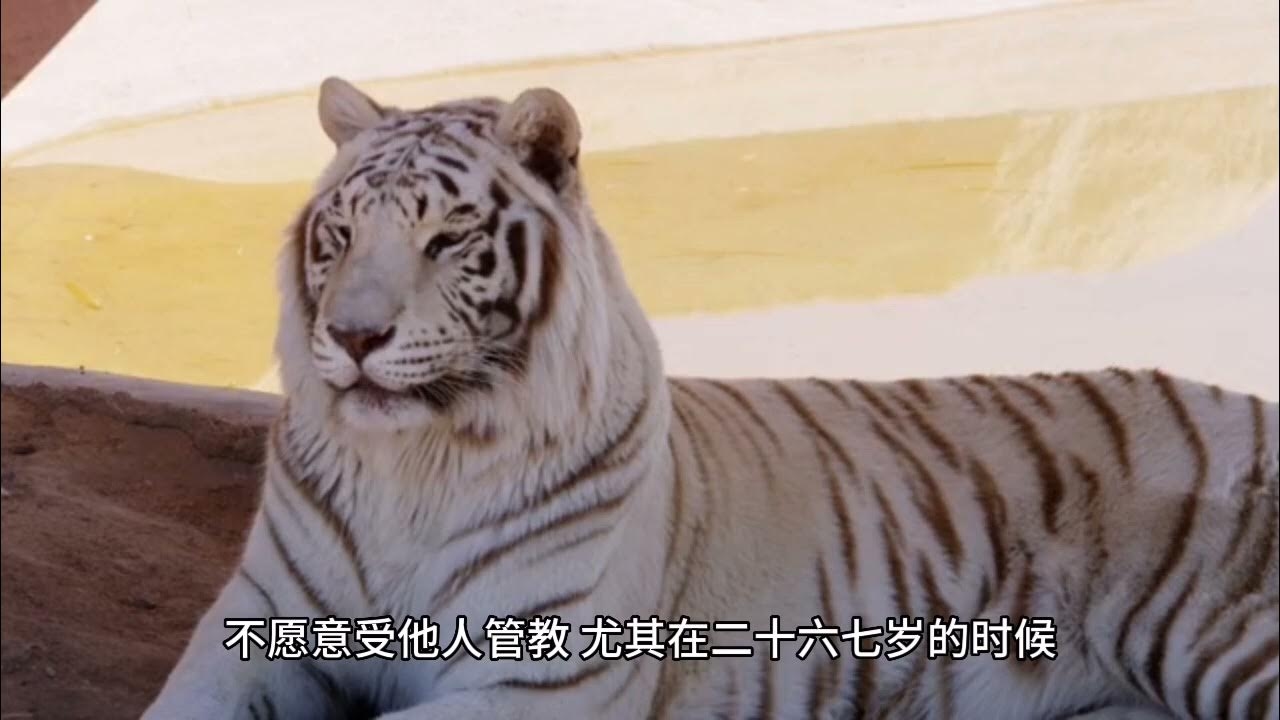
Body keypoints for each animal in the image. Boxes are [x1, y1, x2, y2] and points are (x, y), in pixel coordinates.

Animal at [141, 76, 1279, 720]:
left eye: (446, 238)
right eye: (340, 234)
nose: (353, 337)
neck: (416, 467)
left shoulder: (534, 679)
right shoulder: (259, 626)